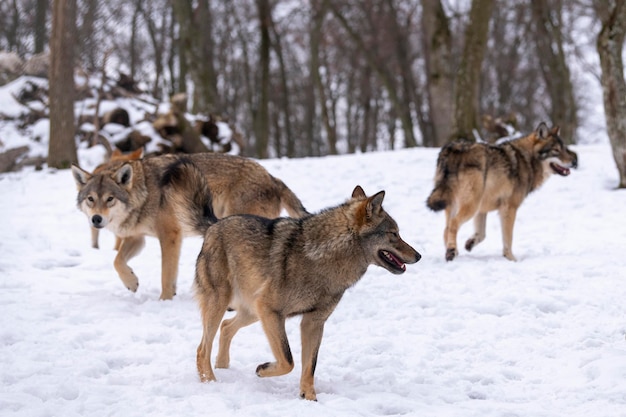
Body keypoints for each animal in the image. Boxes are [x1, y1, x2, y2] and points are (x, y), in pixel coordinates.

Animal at [72, 153, 308, 300]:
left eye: (110, 199)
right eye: (91, 199)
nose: (96, 219)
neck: (145, 192)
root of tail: (273, 178)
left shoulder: (170, 236)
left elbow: (166, 275)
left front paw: (165, 300)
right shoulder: (137, 238)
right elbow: (117, 261)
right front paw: (131, 282)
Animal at [194, 185, 420, 400]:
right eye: (394, 234)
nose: (418, 255)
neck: (322, 259)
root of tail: (214, 225)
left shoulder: (313, 322)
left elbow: (310, 365)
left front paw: (309, 397)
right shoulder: (271, 311)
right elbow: (288, 361)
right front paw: (262, 369)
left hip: (252, 312)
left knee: (225, 327)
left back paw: (223, 368)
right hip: (227, 305)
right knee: (202, 348)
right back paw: (210, 383)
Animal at [424, 122, 576, 262]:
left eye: (564, 149)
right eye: (556, 150)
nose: (574, 162)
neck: (526, 160)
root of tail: (451, 149)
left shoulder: (482, 209)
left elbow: (481, 234)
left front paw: (469, 243)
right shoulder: (509, 208)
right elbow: (508, 238)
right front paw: (511, 259)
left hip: (458, 204)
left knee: (446, 229)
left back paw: (453, 252)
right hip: (470, 206)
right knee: (453, 224)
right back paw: (451, 251)